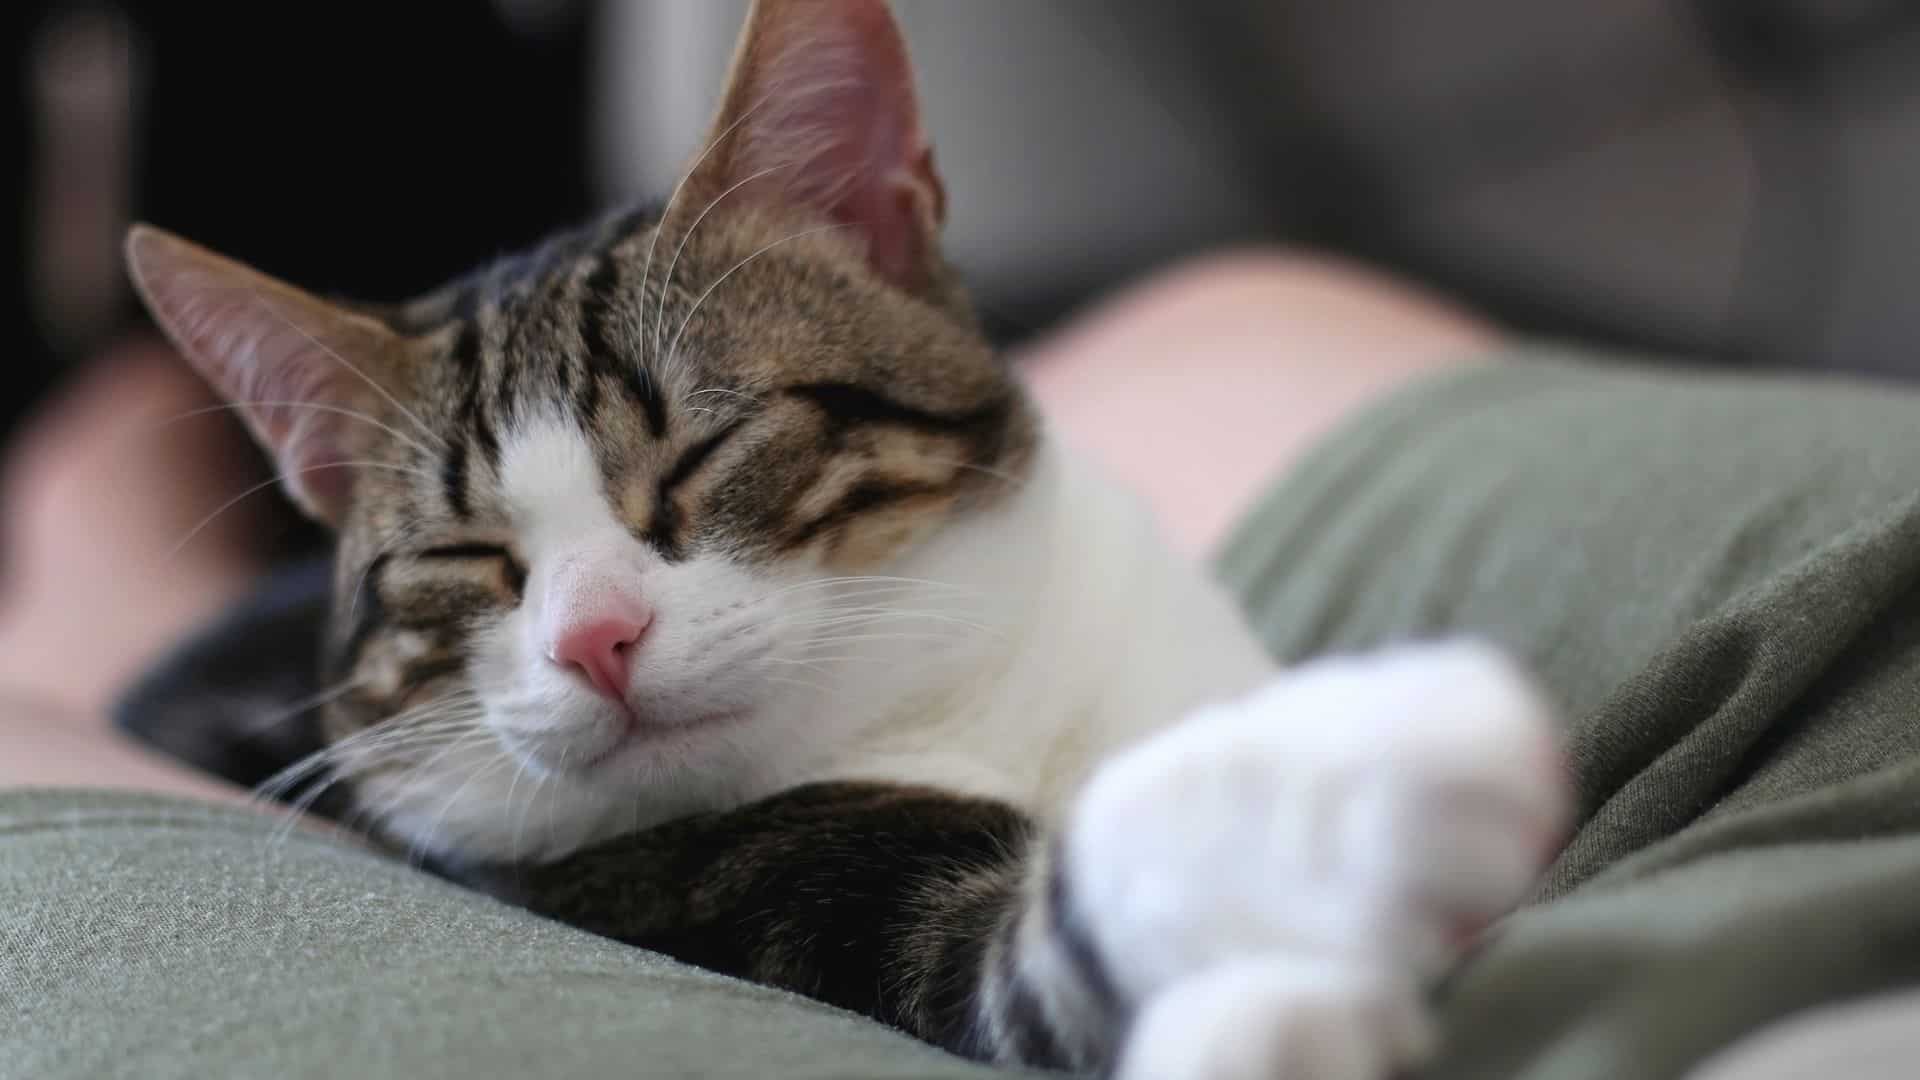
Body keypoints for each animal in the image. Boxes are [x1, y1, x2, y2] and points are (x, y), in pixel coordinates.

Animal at [120, 4, 1566, 1068]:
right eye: (464, 559)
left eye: (699, 455)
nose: (595, 638)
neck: (973, 699)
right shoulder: (715, 892)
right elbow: (1018, 946)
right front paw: (1351, 795)